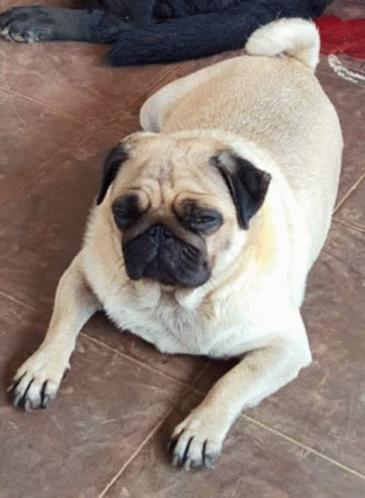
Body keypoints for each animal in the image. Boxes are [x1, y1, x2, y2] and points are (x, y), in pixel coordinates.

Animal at [8, 18, 342, 470]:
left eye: (205, 220)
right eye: (123, 212)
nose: (159, 232)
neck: (174, 299)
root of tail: (292, 63)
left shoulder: (285, 347)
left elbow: (232, 382)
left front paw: (201, 429)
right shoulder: (81, 275)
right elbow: (60, 325)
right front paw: (41, 369)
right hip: (152, 109)